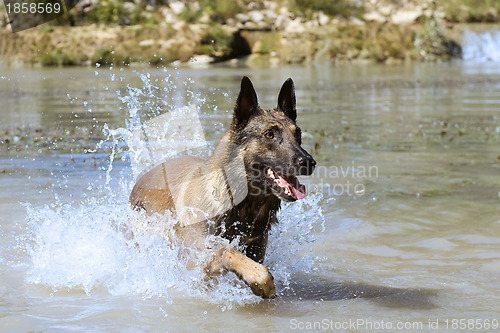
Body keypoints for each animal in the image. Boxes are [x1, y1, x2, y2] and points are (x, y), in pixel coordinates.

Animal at [130, 76, 316, 296]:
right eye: (269, 134)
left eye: (298, 135)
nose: (309, 162)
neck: (243, 205)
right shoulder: (194, 261)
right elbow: (226, 251)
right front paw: (259, 279)